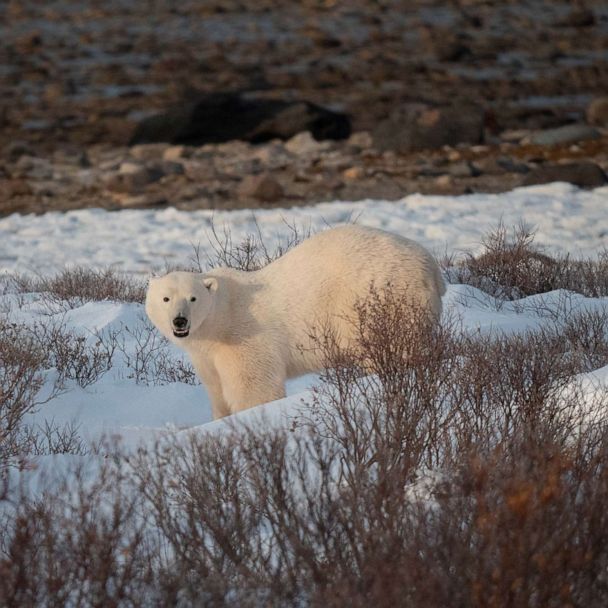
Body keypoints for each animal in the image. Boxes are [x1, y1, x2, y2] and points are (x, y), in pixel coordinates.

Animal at [145, 223, 444, 418]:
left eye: (193, 298)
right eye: (166, 299)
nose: (180, 321)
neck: (219, 319)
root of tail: (430, 266)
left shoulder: (243, 338)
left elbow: (254, 388)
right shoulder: (206, 356)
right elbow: (217, 392)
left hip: (380, 298)